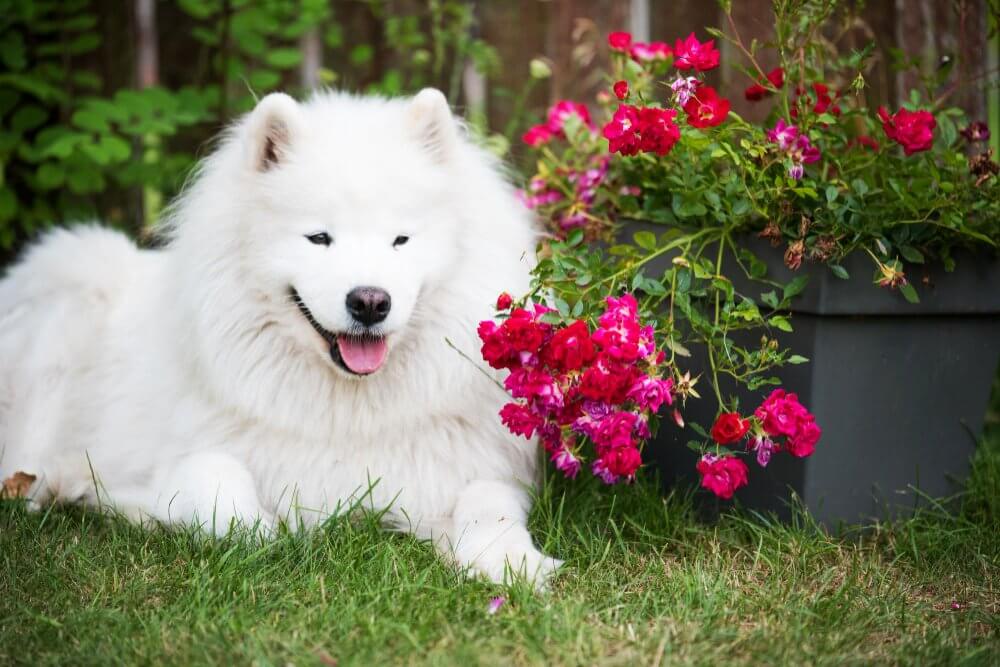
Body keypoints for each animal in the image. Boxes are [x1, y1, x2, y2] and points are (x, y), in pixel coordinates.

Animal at [0, 88, 564, 584]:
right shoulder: (182, 456)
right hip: (74, 280)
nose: (370, 301)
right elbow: (216, 481)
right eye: (318, 238)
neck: (348, 413)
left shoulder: (467, 470)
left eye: (401, 239)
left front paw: (515, 562)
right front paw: (262, 533)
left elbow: (489, 506)